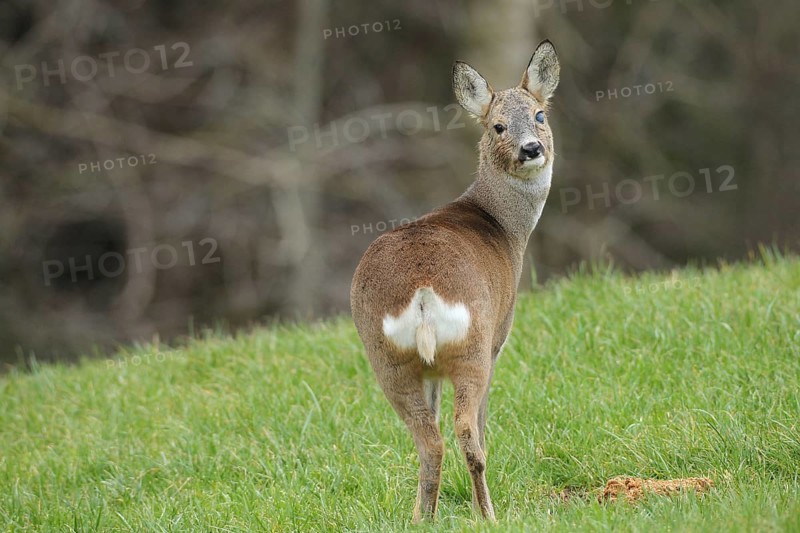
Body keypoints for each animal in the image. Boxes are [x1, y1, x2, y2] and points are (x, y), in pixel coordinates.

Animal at [350, 40, 560, 522]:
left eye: (540, 114)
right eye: (498, 125)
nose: (531, 148)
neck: (503, 227)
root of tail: (423, 294)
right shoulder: (500, 337)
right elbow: (482, 424)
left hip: (389, 360)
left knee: (429, 442)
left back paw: (420, 518)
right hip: (472, 347)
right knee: (466, 433)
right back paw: (489, 514)